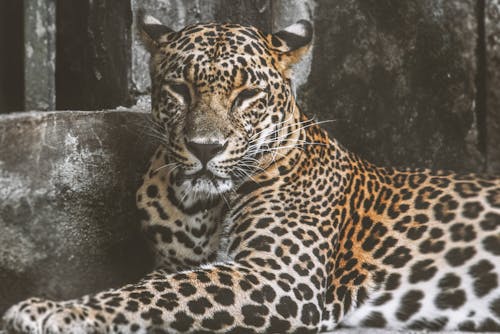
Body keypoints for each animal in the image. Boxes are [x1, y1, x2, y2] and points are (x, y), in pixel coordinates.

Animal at [0, 13, 500, 334]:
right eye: (180, 89)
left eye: (246, 96)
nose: (204, 148)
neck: (200, 206)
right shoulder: (180, 261)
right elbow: (155, 287)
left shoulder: (280, 275)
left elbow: (158, 292)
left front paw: (51, 311)